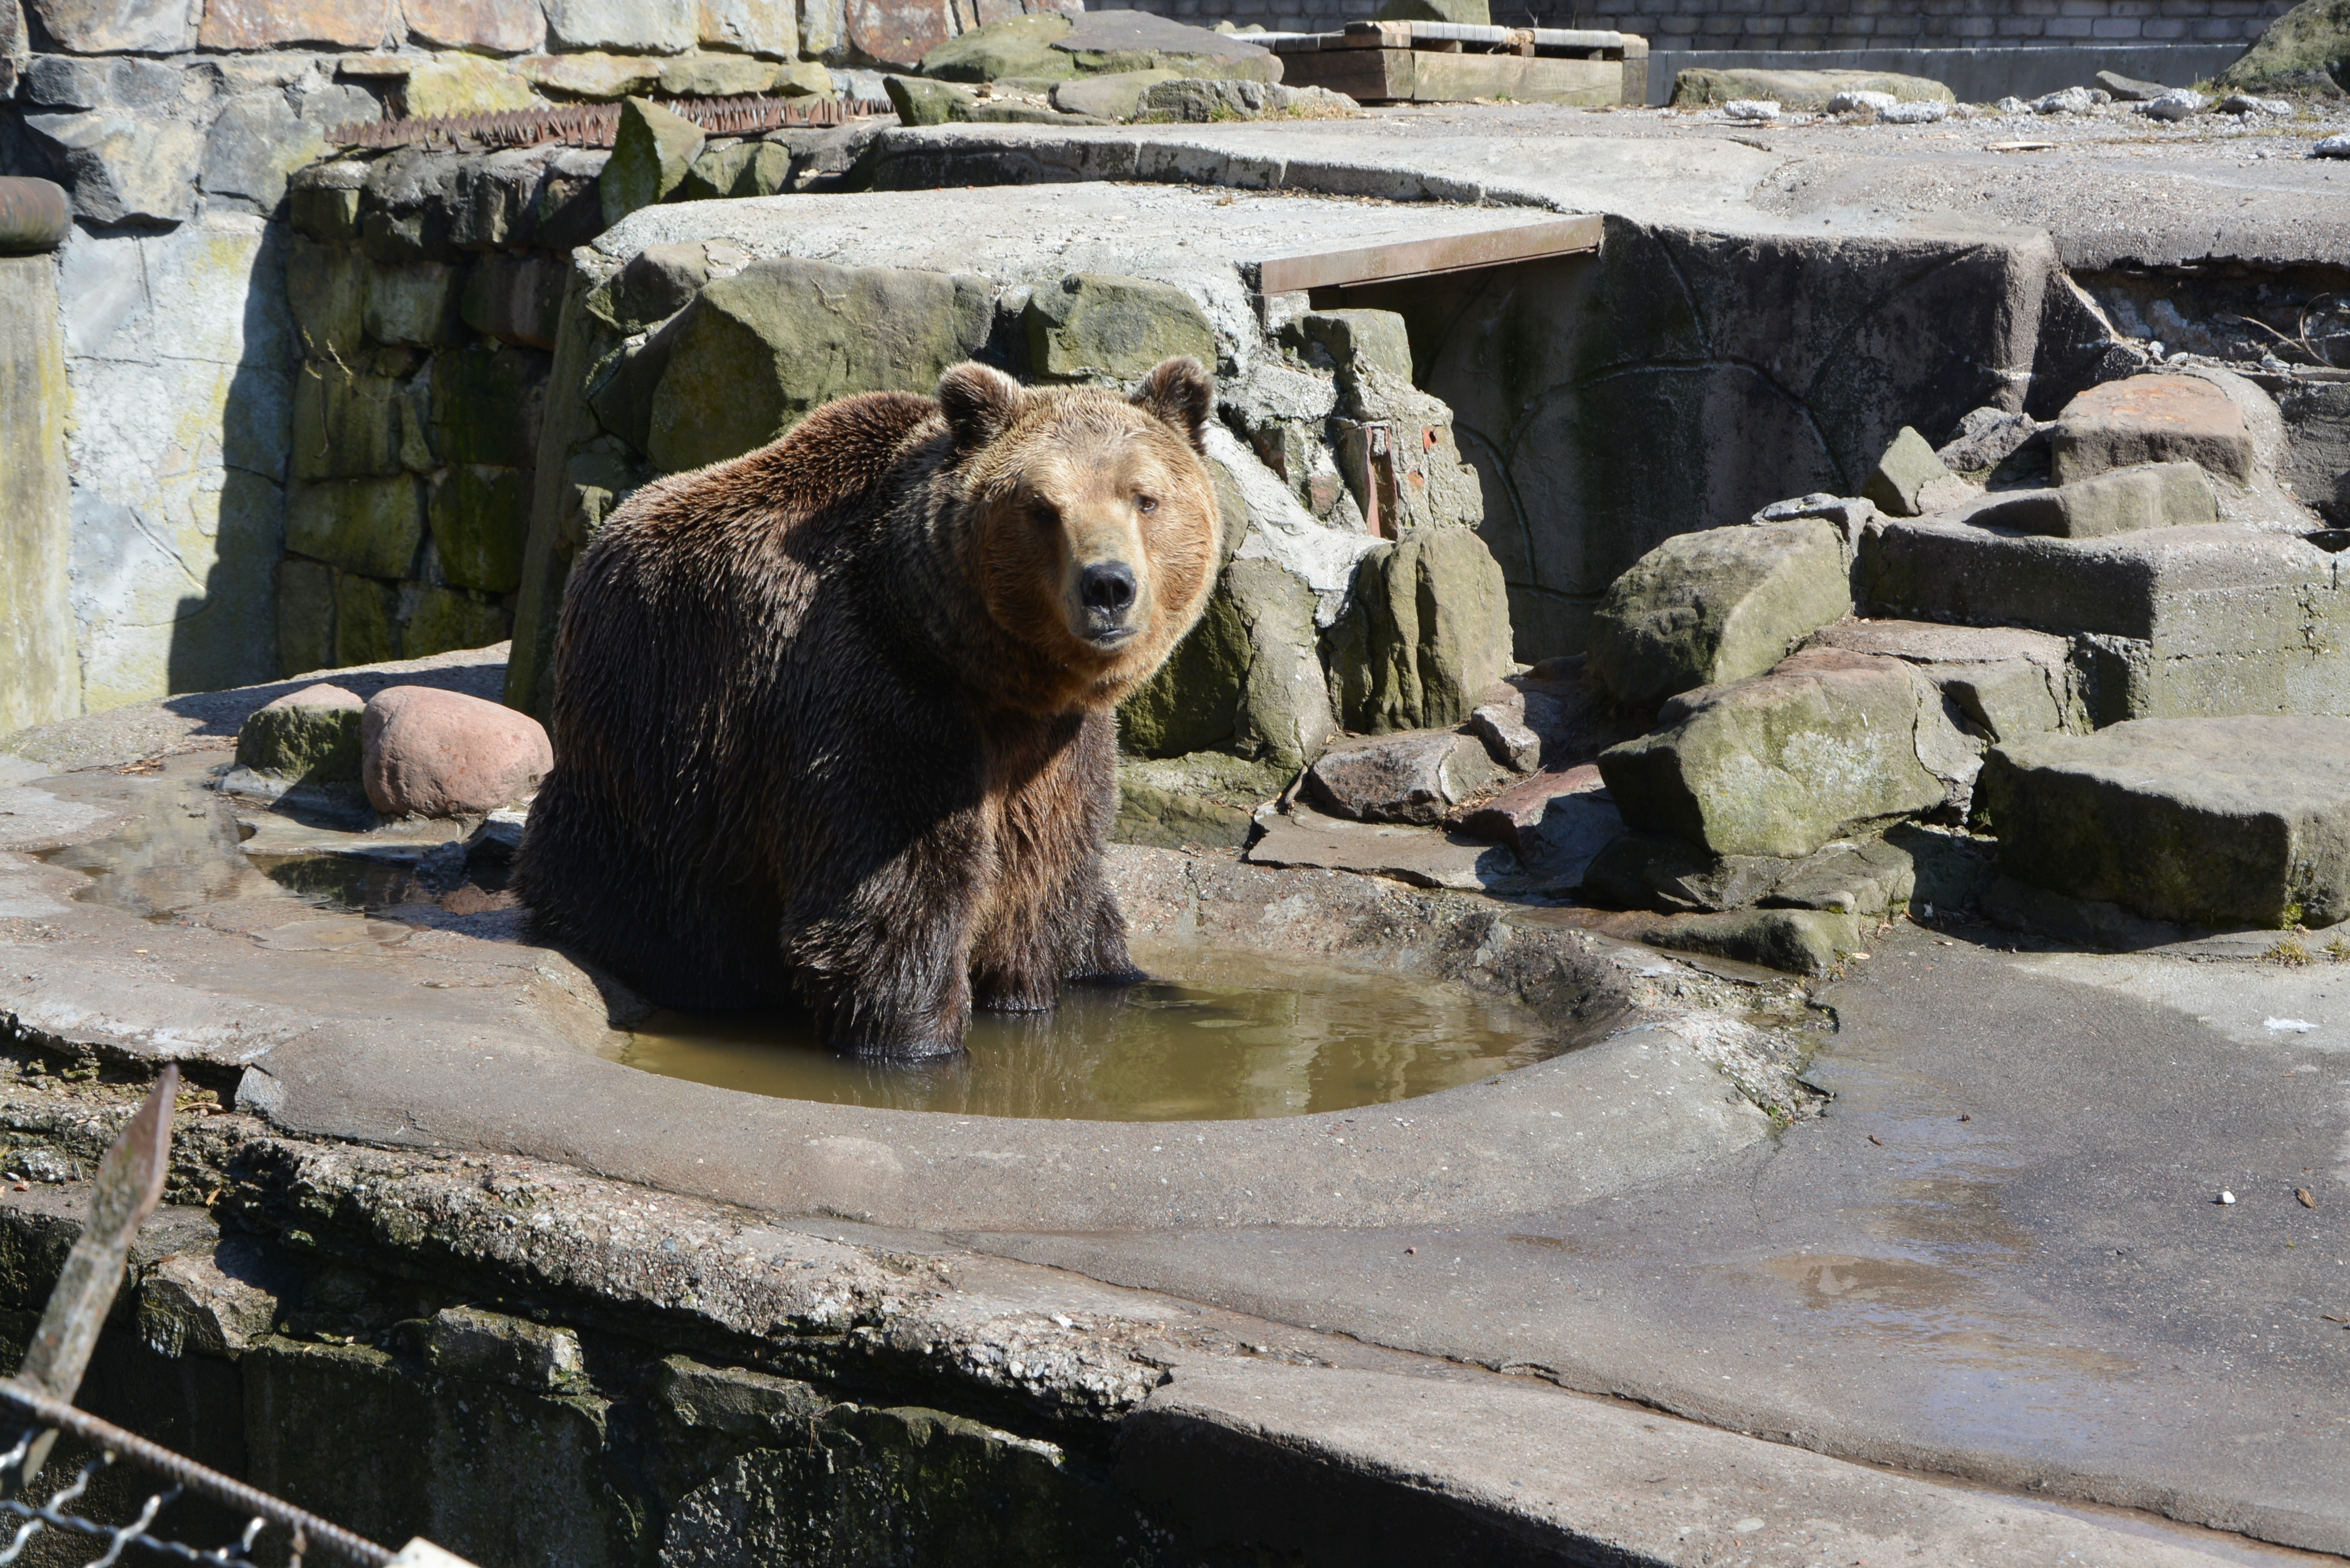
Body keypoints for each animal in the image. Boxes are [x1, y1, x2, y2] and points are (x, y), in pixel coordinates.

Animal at [519, 362, 1231, 1062]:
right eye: (1041, 508)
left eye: (1145, 498)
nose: (1107, 586)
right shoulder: (872, 696)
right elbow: (891, 901)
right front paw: (919, 1042)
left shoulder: (1057, 746)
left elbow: (1047, 879)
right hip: (651, 772)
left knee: (1098, 930)